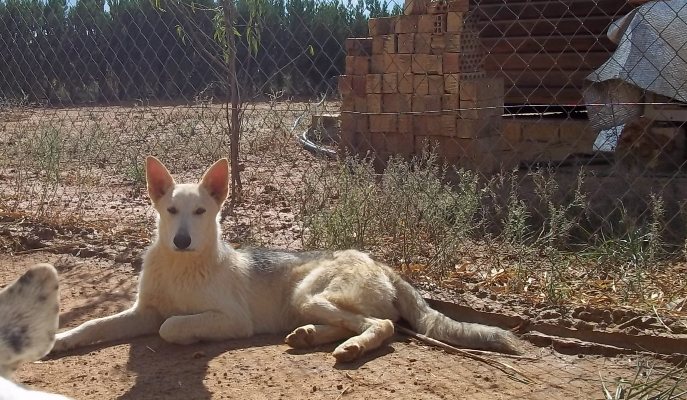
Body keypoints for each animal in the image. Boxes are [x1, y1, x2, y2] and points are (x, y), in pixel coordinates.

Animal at [52, 157, 520, 362]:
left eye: (200, 212)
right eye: (171, 211)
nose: (182, 240)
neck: (183, 267)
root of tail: (380, 263)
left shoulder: (231, 320)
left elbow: (172, 327)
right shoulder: (142, 311)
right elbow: (93, 325)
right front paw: (60, 338)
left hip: (309, 294)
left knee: (382, 326)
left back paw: (351, 346)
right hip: (305, 302)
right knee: (356, 323)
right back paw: (311, 337)